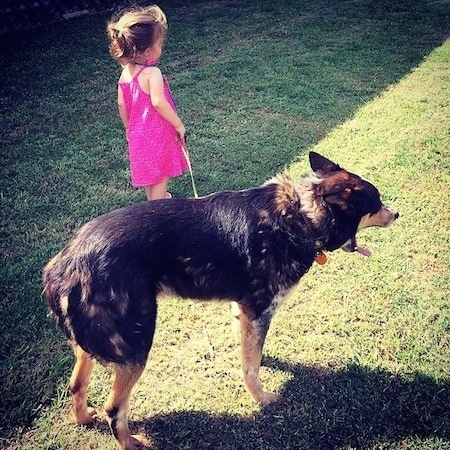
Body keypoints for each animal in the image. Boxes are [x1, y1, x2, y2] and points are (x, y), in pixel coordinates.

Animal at [44, 153, 398, 448]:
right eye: (376, 201)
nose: (397, 213)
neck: (302, 215)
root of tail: (63, 266)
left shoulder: (244, 310)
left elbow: (249, 353)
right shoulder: (258, 309)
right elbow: (251, 366)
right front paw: (262, 397)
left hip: (93, 345)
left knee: (76, 385)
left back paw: (83, 418)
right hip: (136, 346)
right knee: (114, 407)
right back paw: (130, 442)